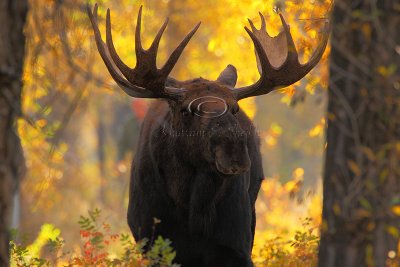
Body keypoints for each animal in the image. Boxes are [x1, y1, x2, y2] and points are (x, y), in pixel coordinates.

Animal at [86, 4, 328, 267]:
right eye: (186, 109)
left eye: (235, 108)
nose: (234, 149)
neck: (192, 210)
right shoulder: (151, 243)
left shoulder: (236, 245)